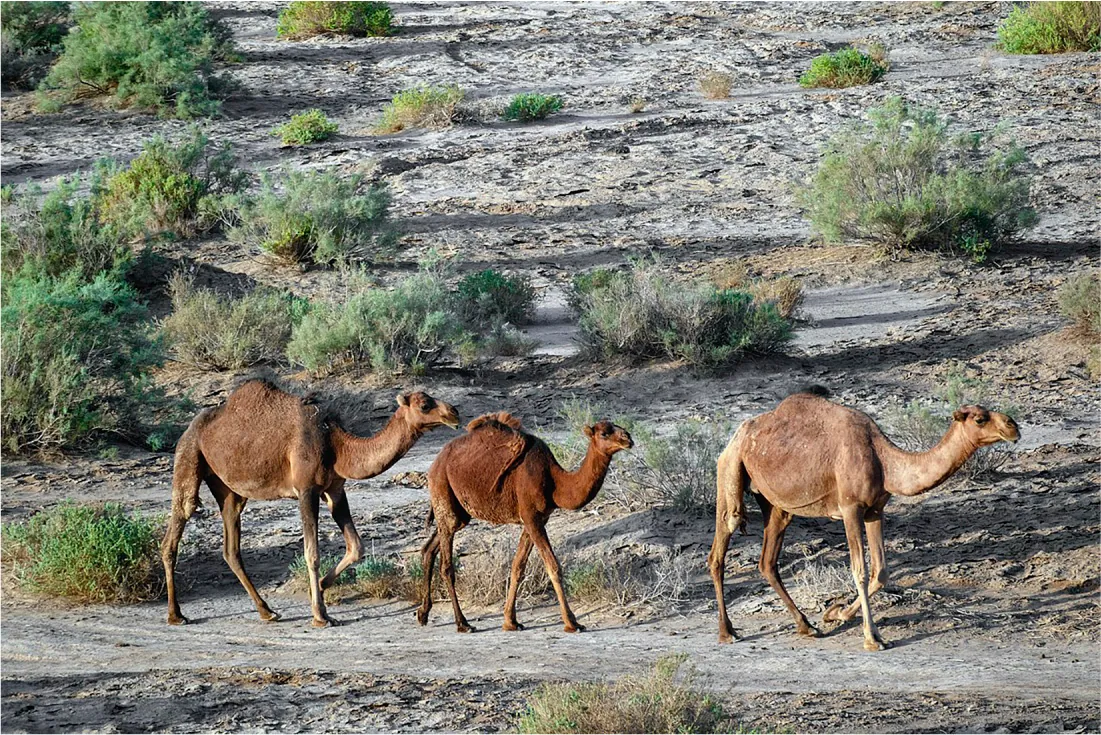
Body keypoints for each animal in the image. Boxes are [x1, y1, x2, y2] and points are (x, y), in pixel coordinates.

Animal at [162, 379, 459, 628]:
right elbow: (311, 553)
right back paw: (176, 615)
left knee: (231, 546)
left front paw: (323, 588)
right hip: (189, 454)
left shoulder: (335, 489)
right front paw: (320, 615)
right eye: (425, 404)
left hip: (230, 490)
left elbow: (356, 547)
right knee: (179, 521)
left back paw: (267, 611)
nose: (454, 412)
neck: (337, 444)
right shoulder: (306, 490)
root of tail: (191, 427)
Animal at [416, 413, 633, 633]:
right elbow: (553, 567)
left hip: (459, 512)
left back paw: (423, 614)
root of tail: (435, 463)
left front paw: (510, 621)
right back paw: (463, 623)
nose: (628, 438)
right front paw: (572, 623)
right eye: (604, 433)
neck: (554, 481)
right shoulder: (531, 517)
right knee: (446, 566)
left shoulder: (537, 519)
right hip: (443, 490)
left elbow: (518, 567)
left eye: (618, 427)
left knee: (429, 547)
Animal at [708, 388, 1020, 651]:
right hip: (730, 469)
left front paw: (835, 614)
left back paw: (806, 626)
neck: (884, 460)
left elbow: (880, 572)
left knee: (767, 561)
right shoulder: (850, 508)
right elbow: (859, 570)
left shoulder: (875, 510)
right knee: (720, 545)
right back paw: (727, 632)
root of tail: (736, 436)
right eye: (980, 419)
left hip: (776, 504)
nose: (1013, 425)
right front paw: (872, 638)